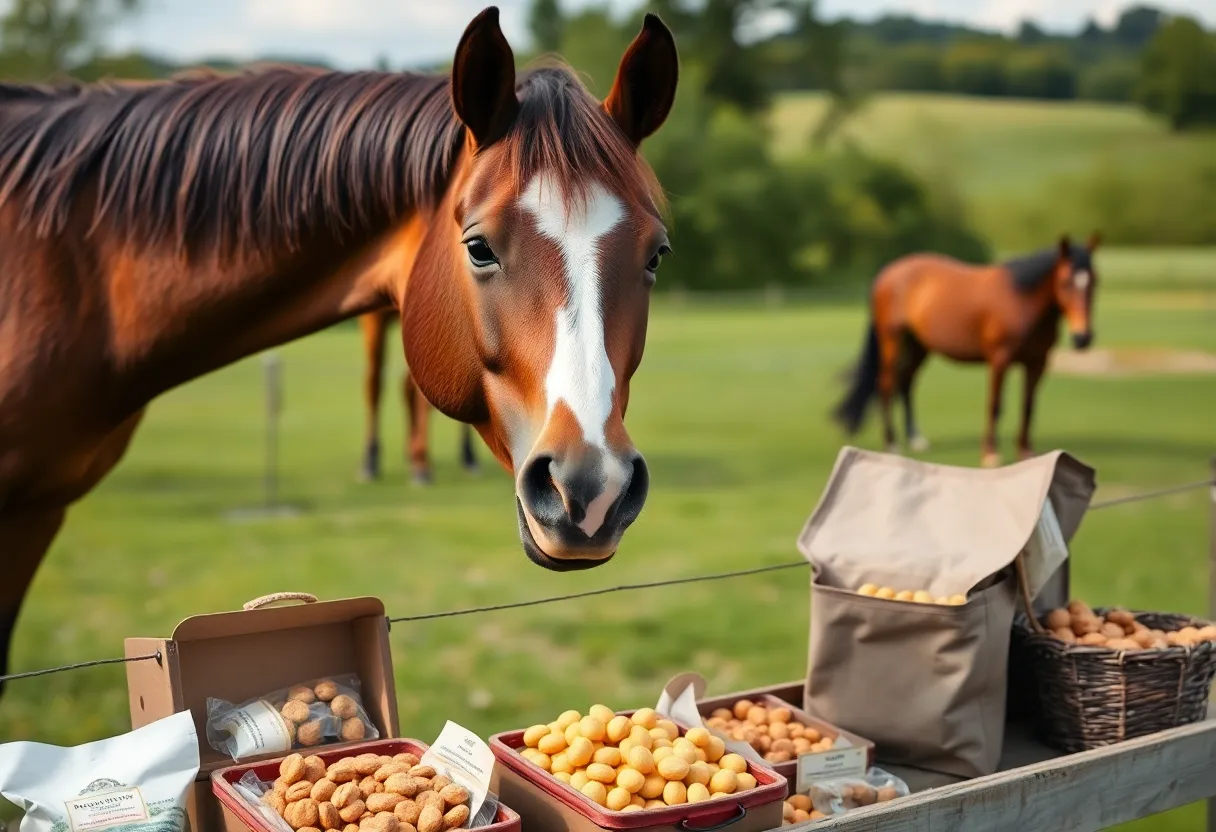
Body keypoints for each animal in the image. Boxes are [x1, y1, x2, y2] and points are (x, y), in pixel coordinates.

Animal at [833, 234, 1100, 467]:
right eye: (1065, 282)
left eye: (1095, 281)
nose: (1083, 338)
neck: (1021, 299)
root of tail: (887, 274)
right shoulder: (1000, 360)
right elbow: (995, 405)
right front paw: (990, 454)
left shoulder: (1037, 363)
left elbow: (1028, 406)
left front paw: (1026, 452)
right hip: (893, 341)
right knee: (886, 384)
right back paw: (892, 443)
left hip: (918, 346)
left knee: (906, 383)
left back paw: (916, 439)